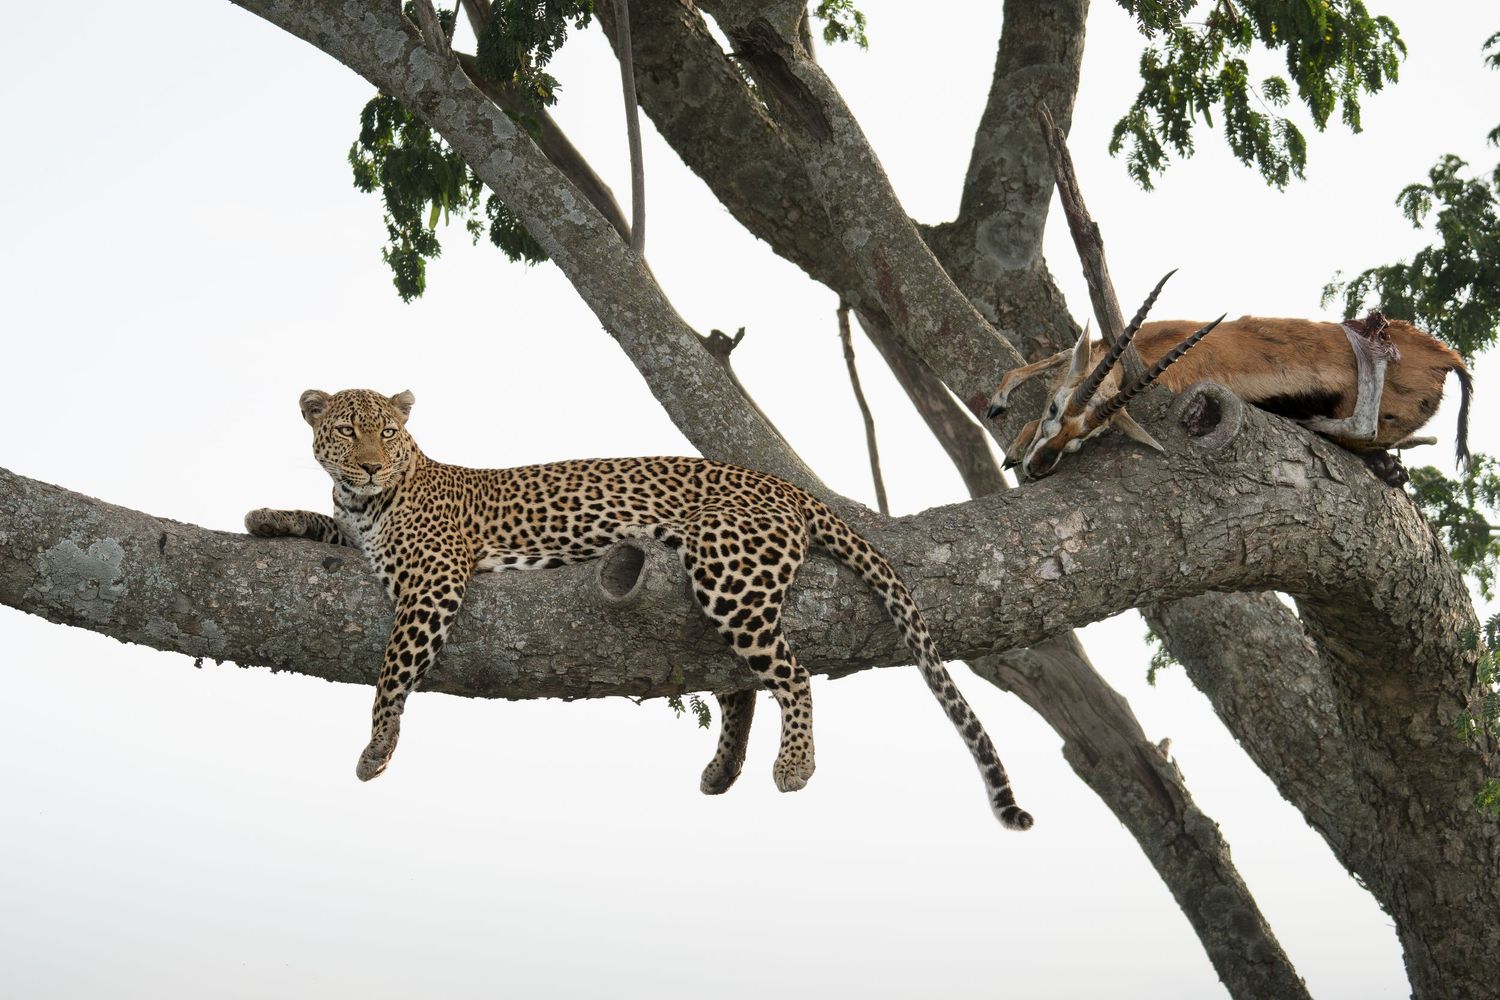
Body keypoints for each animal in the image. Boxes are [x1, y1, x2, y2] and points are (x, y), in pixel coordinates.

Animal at [245, 388, 1032, 829]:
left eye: (388, 431)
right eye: (346, 430)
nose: (372, 462)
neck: (374, 498)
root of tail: (784, 484)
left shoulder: (433, 579)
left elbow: (390, 671)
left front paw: (377, 747)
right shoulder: (357, 532)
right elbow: (319, 523)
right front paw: (266, 516)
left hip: (724, 563)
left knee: (793, 673)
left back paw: (795, 765)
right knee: (744, 681)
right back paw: (723, 769)